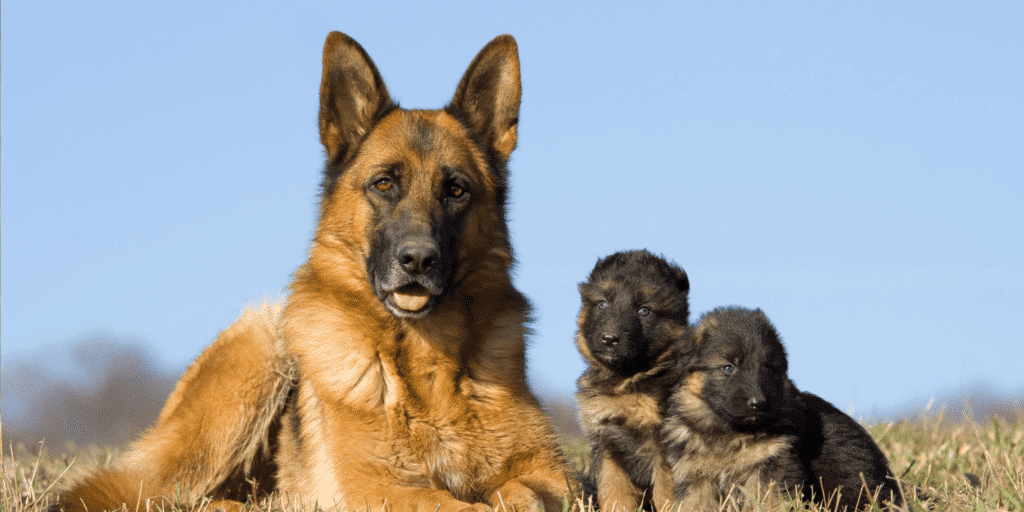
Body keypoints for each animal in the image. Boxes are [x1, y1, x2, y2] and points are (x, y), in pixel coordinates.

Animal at [54, 30, 569, 512]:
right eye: (384, 184)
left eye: (456, 190)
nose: (418, 260)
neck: (428, 364)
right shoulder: (374, 488)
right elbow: (455, 503)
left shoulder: (552, 475)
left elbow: (525, 492)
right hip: (258, 347)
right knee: (148, 494)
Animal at [573, 249, 692, 512]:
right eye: (603, 303)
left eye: (644, 310)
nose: (609, 339)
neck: (626, 381)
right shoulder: (607, 443)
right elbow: (614, 490)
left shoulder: (664, 444)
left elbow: (666, 492)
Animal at [655, 305, 905, 509]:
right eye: (728, 368)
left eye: (767, 368)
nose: (758, 403)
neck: (731, 433)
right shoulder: (695, 479)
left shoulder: (772, 469)